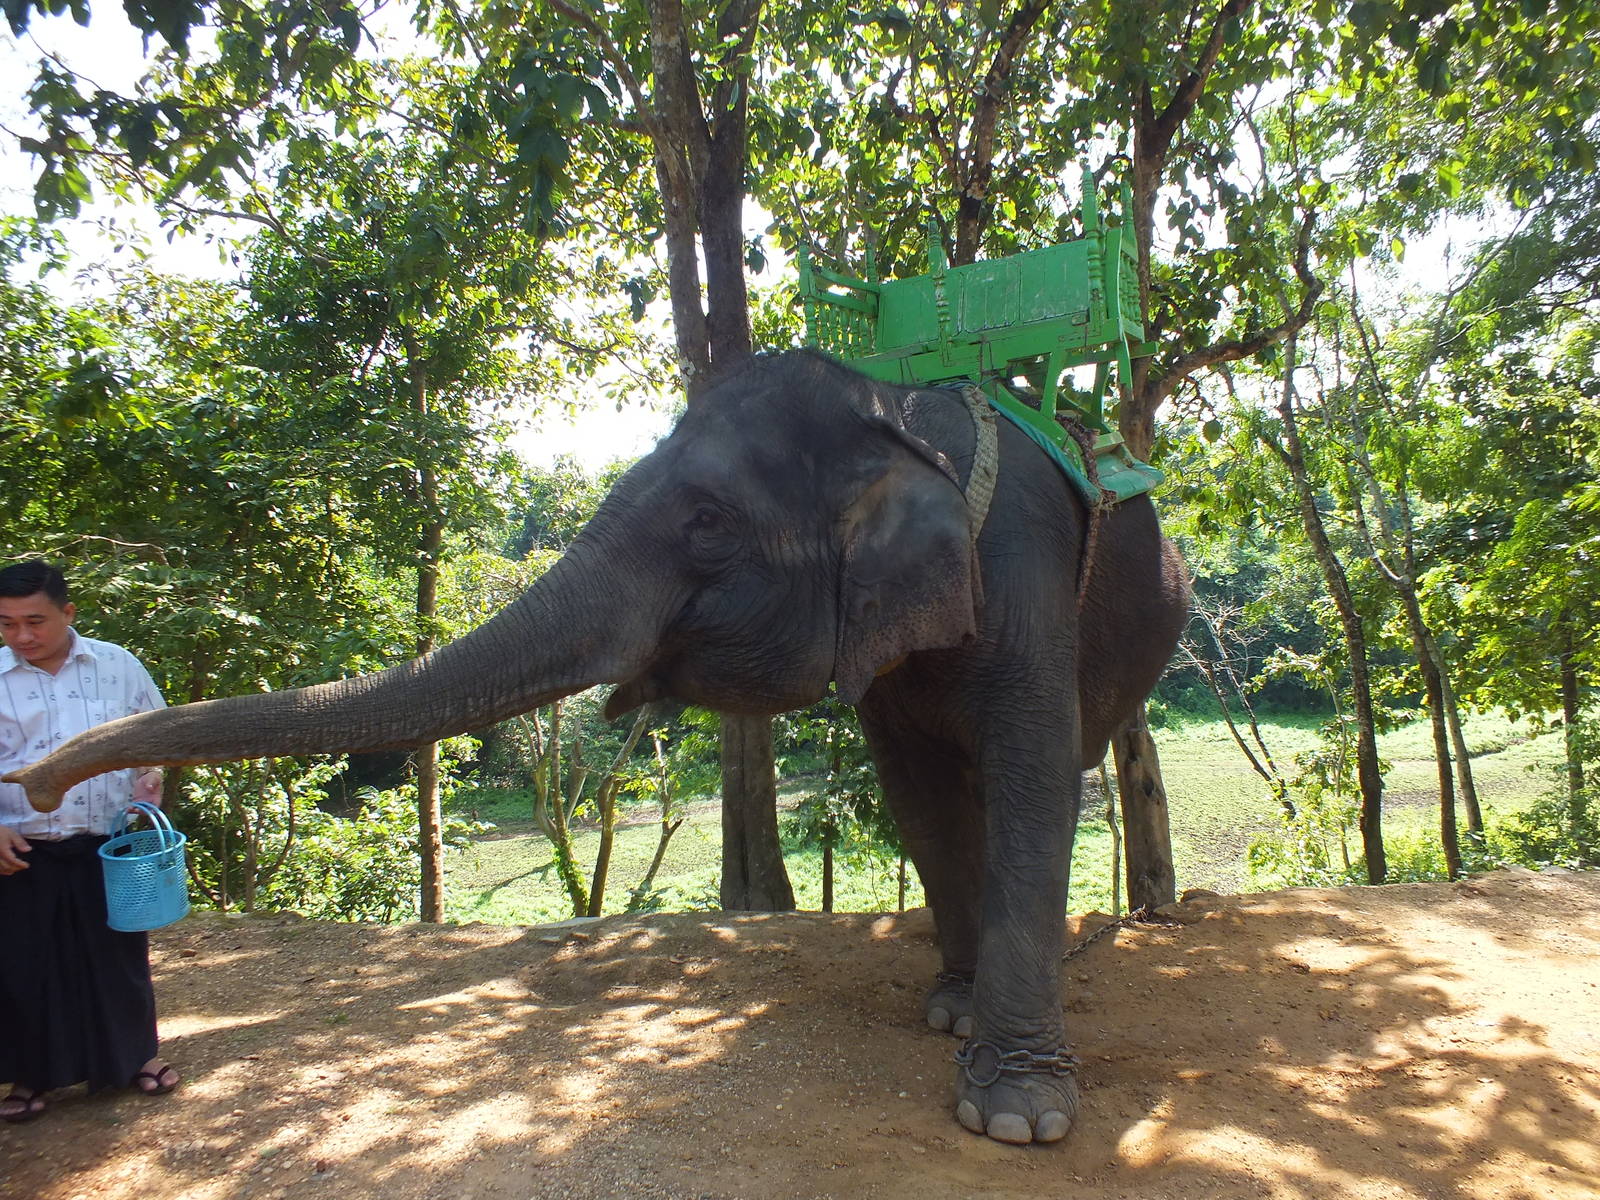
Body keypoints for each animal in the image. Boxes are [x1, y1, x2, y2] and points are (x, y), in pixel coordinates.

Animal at [8, 348, 1189, 1145]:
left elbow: (1034, 778)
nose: (32, 784)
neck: (898, 417)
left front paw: (1019, 1118)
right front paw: (953, 1018)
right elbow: (919, 791)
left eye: (707, 523)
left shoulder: (1026, 573)